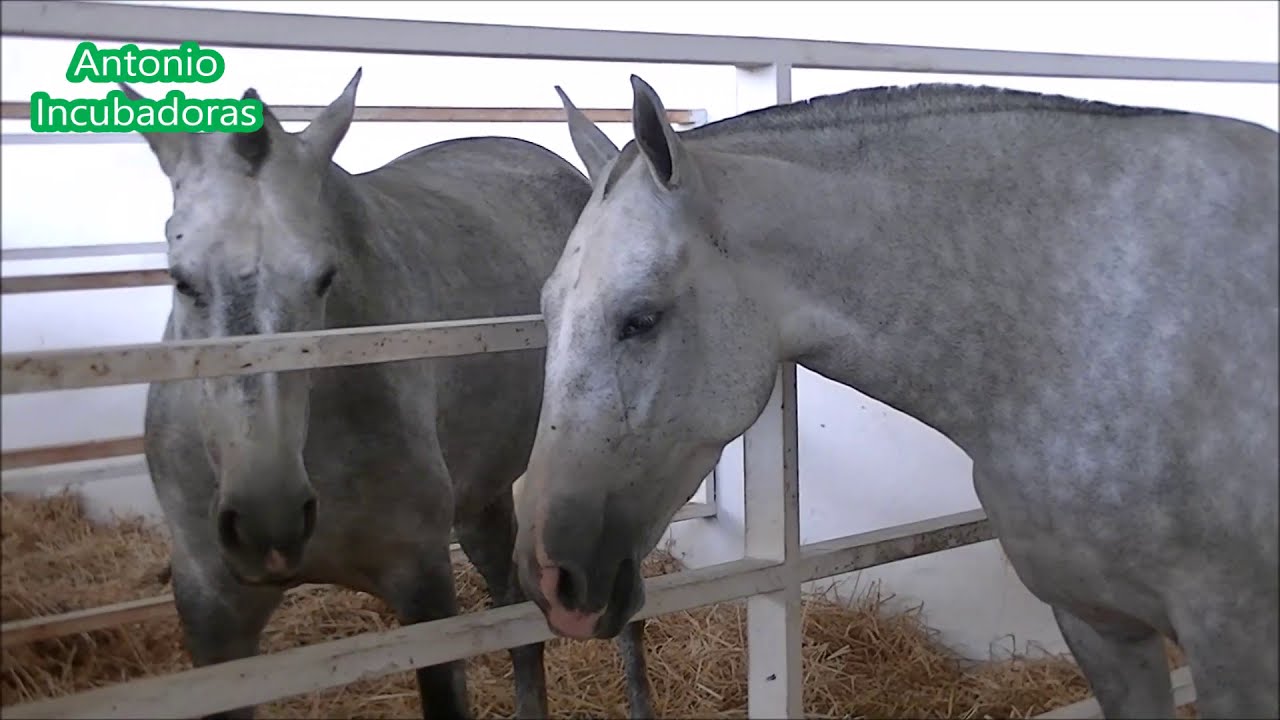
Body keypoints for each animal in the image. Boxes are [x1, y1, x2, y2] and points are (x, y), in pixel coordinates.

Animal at [126, 69, 654, 719]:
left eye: (324, 278)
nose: (267, 522)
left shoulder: (422, 587)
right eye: (180, 278)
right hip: (482, 498)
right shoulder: (213, 617)